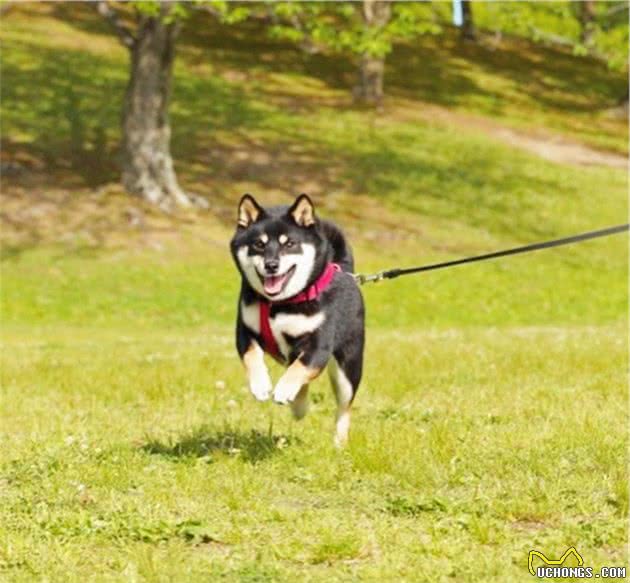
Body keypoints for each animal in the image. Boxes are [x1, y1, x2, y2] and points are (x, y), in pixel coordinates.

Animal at [231, 194, 366, 444]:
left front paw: (284, 389)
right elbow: (252, 356)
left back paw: (339, 442)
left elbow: (301, 367)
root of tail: (343, 268)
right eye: (259, 244)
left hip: (348, 367)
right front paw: (260, 385)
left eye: (289, 243)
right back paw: (298, 406)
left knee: (344, 406)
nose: (271, 265)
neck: (280, 304)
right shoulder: (245, 331)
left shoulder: (318, 345)